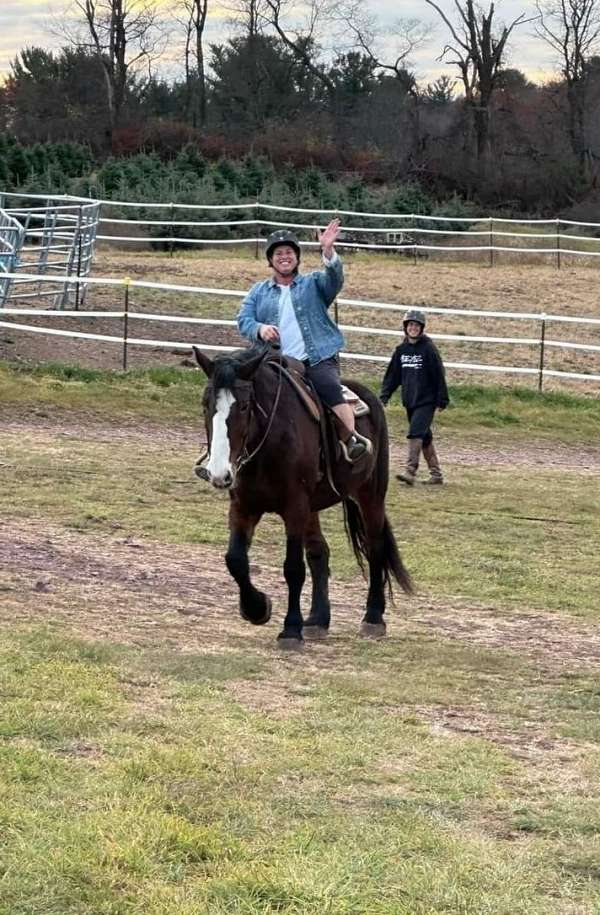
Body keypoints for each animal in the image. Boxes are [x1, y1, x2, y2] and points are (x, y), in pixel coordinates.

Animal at [193, 346, 412, 652]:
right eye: (206, 404)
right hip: (313, 507)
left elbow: (293, 568)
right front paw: (257, 608)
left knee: (375, 547)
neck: (269, 440)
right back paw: (318, 620)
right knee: (320, 552)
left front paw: (290, 630)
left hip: (370, 494)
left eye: (245, 406)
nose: (218, 473)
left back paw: (373, 617)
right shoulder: (243, 506)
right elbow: (235, 560)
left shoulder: (294, 507)